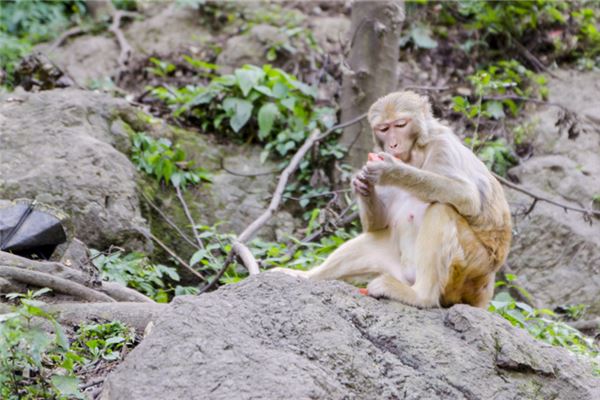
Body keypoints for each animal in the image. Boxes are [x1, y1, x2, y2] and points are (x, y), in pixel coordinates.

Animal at [274, 91, 512, 310]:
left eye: (400, 125)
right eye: (384, 129)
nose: (393, 145)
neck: (415, 155)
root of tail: (486, 287)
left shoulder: (443, 147)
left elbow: (467, 196)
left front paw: (392, 171)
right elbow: (377, 225)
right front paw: (361, 186)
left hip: (472, 268)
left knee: (442, 209)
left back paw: (420, 296)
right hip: (400, 269)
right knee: (375, 239)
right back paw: (305, 276)